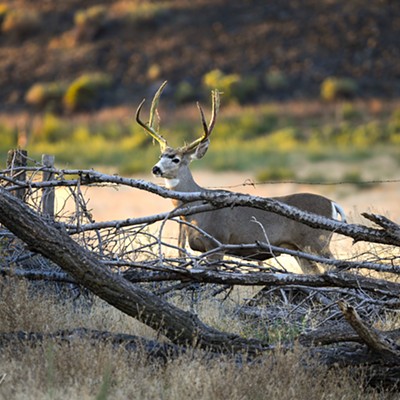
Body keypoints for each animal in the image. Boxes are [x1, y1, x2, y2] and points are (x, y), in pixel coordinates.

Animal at [136, 81, 346, 276]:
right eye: (161, 155)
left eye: (176, 159)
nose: (155, 168)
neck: (195, 212)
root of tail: (333, 204)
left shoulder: (216, 243)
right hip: (298, 249)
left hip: (316, 241)